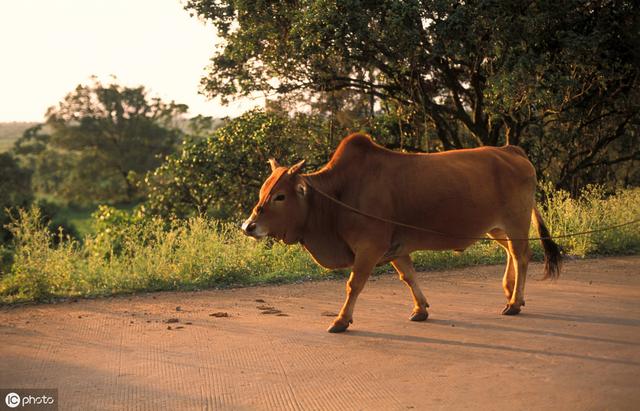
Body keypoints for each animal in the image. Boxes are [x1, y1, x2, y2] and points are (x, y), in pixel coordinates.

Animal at [242, 134, 564, 334]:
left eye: (280, 196)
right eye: (263, 191)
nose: (249, 226)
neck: (336, 196)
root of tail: (511, 150)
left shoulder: (370, 247)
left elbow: (354, 284)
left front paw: (341, 320)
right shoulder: (395, 248)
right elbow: (408, 276)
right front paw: (421, 309)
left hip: (516, 223)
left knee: (521, 257)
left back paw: (514, 302)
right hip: (497, 228)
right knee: (512, 253)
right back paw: (510, 292)